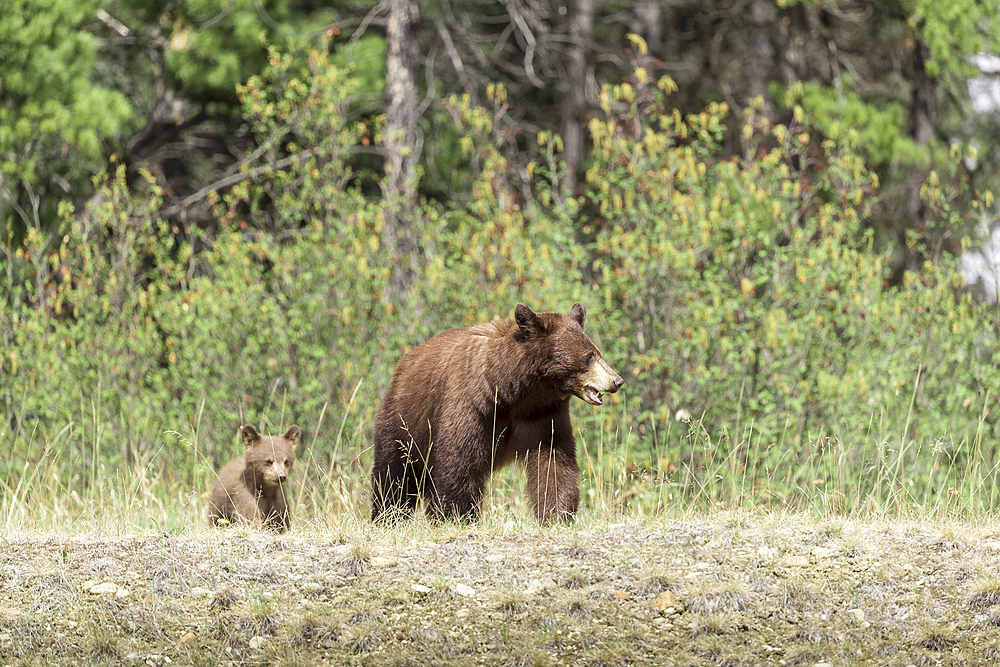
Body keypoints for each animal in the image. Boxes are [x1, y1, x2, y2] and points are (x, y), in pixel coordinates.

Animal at [374, 304, 620, 528]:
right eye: (590, 356)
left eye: (597, 352)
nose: (617, 380)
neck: (514, 389)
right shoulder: (472, 404)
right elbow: (460, 458)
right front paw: (454, 515)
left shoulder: (542, 413)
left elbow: (554, 459)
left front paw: (557, 514)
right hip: (405, 420)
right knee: (394, 472)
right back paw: (387, 516)